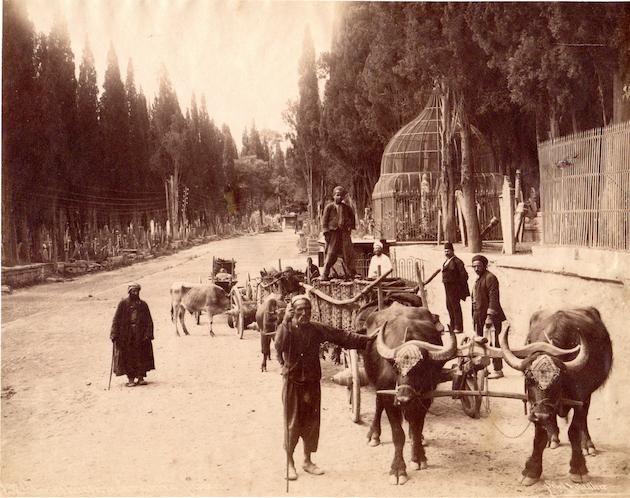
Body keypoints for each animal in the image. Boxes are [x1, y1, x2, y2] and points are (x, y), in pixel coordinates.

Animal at [362, 302, 456, 484]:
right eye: (396, 368)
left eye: (420, 369)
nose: (403, 398)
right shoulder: (389, 398)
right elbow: (398, 434)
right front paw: (398, 470)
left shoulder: (425, 399)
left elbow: (417, 427)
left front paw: (419, 457)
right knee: (378, 404)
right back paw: (374, 435)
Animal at [502, 308, 616, 486]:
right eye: (528, 378)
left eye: (558, 379)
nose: (542, 415)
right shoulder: (536, 407)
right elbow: (539, 436)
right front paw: (532, 471)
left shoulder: (580, 399)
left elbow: (574, 430)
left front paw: (578, 469)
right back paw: (553, 437)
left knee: (583, 421)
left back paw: (587, 444)